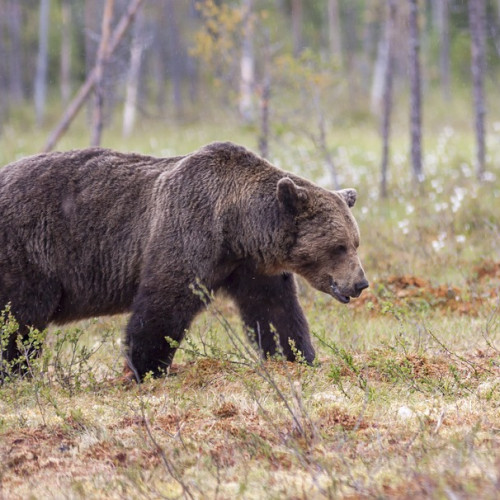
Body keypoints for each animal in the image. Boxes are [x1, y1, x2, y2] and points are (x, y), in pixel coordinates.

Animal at [0, 143, 368, 380]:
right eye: (338, 247)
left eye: (355, 242)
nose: (360, 283)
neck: (236, 226)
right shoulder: (188, 231)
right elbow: (163, 303)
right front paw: (144, 367)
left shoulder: (250, 267)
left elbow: (275, 312)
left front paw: (296, 355)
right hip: (29, 250)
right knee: (20, 318)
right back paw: (17, 371)